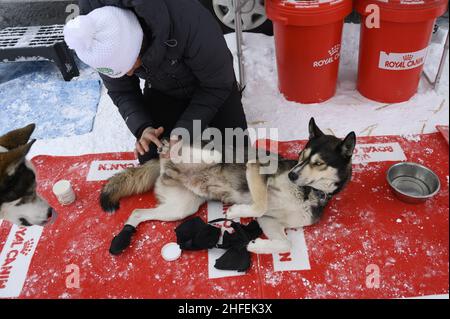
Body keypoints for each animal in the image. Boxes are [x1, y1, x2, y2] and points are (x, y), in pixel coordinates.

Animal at [99, 119, 356, 256]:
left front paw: (254, 245)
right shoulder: (256, 170)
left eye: (318, 163)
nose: (293, 175)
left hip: (180, 209)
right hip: (206, 156)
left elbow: (285, 243)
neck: (308, 193)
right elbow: (260, 205)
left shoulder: (271, 222)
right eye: (302, 156)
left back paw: (122, 239)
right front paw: (235, 212)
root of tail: (164, 161)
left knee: (137, 212)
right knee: (205, 151)